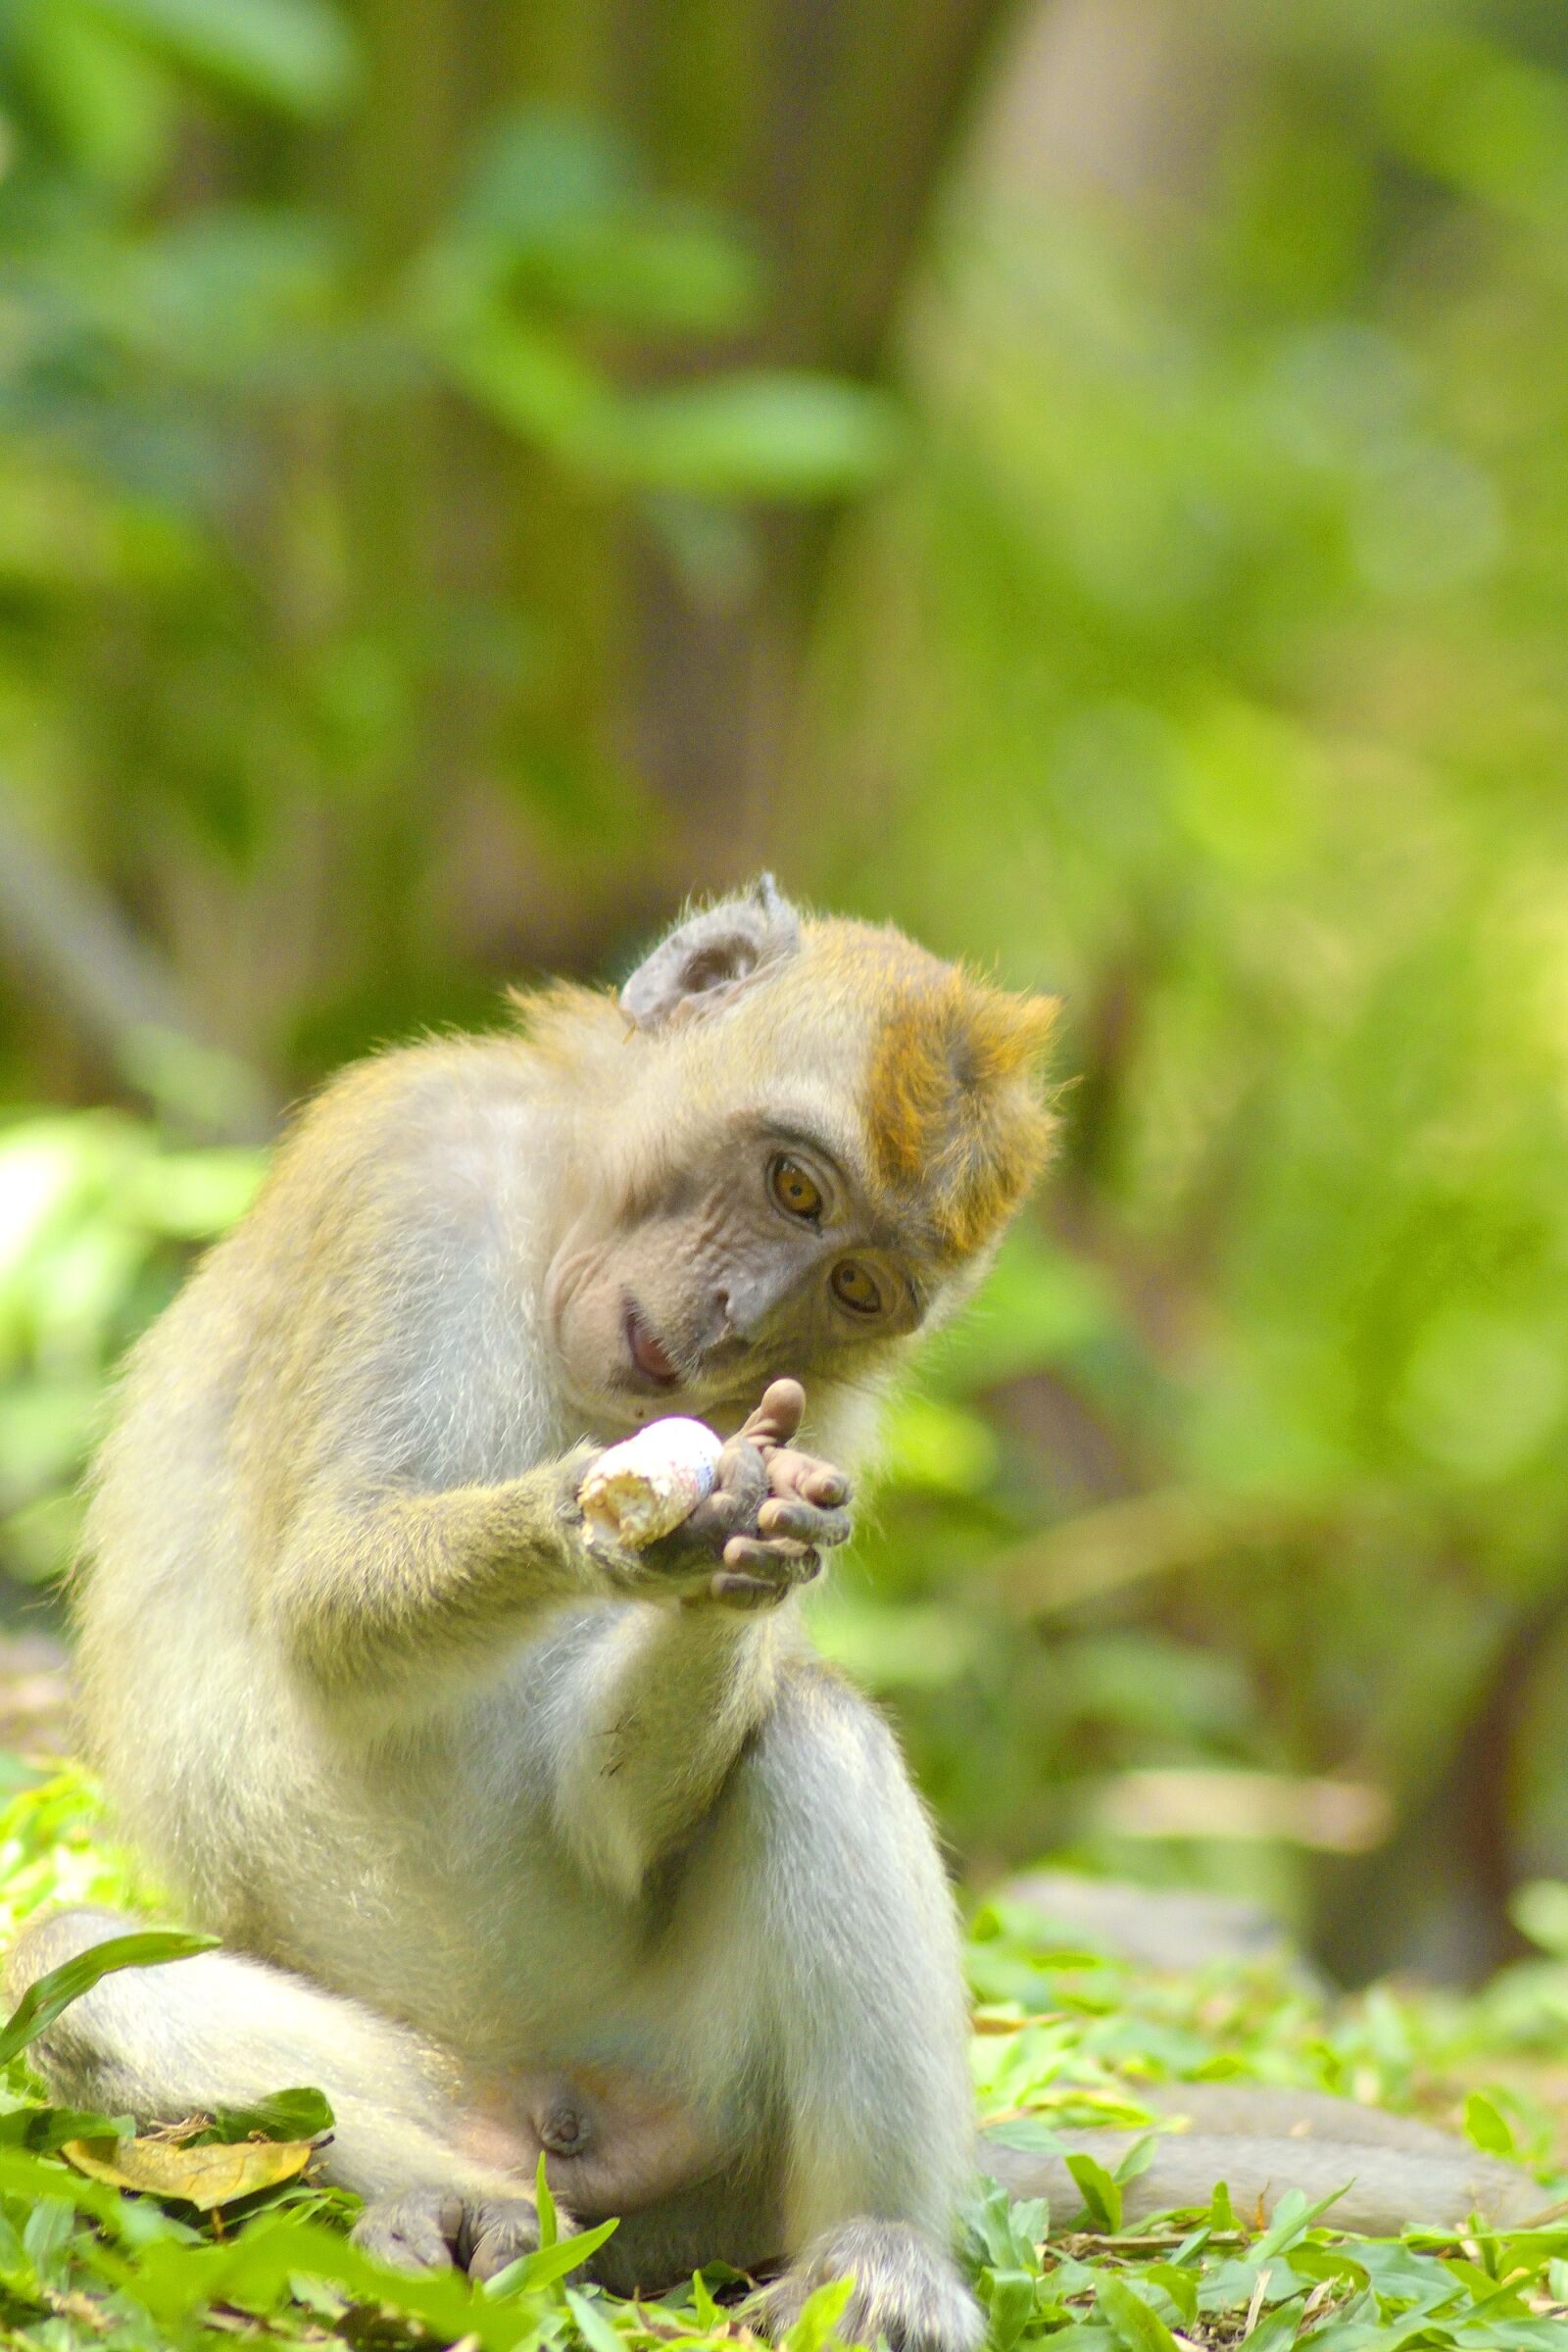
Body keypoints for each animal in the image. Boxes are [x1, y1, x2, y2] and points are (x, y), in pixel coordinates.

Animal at [5, 881, 1061, 2352]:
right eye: (795, 1186)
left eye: (855, 1290)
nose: (737, 1326)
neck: (561, 1203)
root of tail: (571, 2138)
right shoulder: (406, 1169)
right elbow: (324, 1597)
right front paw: (605, 1519)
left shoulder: (835, 1411)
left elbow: (619, 1815)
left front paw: (749, 1546)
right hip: (432, 2082)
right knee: (81, 1981)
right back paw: (452, 2206)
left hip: (706, 2125)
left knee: (812, 1730)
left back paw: (877, 2258)